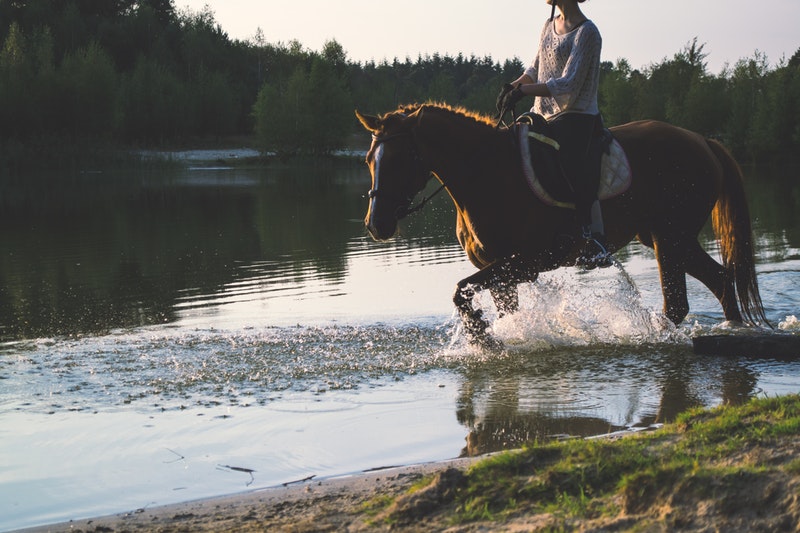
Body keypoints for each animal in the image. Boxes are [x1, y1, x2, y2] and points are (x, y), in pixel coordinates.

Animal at [356, 104, 768, 344]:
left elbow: (460, 291)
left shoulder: (527, 262)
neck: (488, 175)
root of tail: (703, 141)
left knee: (680, 303)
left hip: (670, 237)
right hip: (671, 238)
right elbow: (500, 310)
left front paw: (481, 336)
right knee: (720, 280)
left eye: (400, 158)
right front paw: (496, 337)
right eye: (368, 159)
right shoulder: (503, 272)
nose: (376, 225)